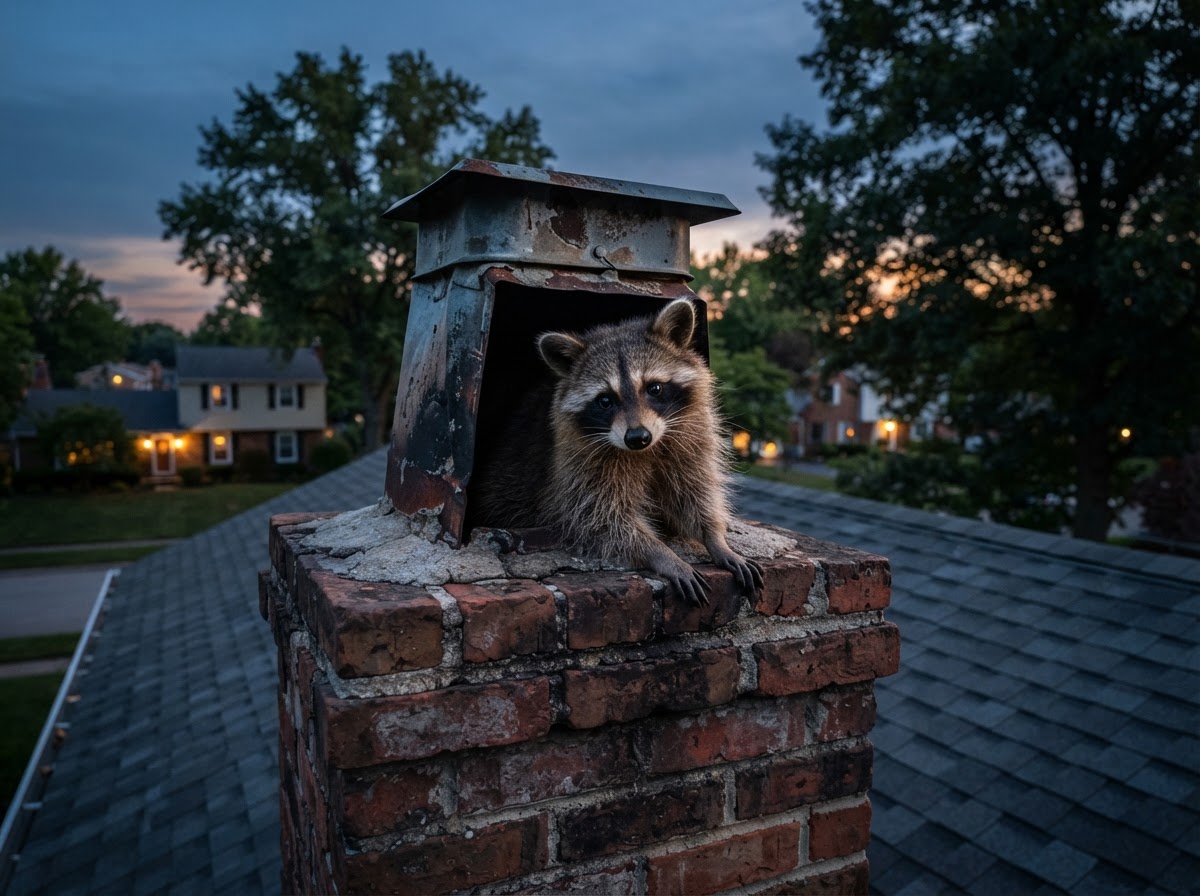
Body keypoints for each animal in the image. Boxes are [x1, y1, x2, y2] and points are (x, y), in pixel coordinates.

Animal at [470, 297, 762, 606]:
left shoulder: (690, 439)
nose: (637, 437)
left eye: (654, 388)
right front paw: (663, 554)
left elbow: (695, 491)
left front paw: (715, 539)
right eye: (605, 400)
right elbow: (604, 519)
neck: (645, 451)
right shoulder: (578, 467)